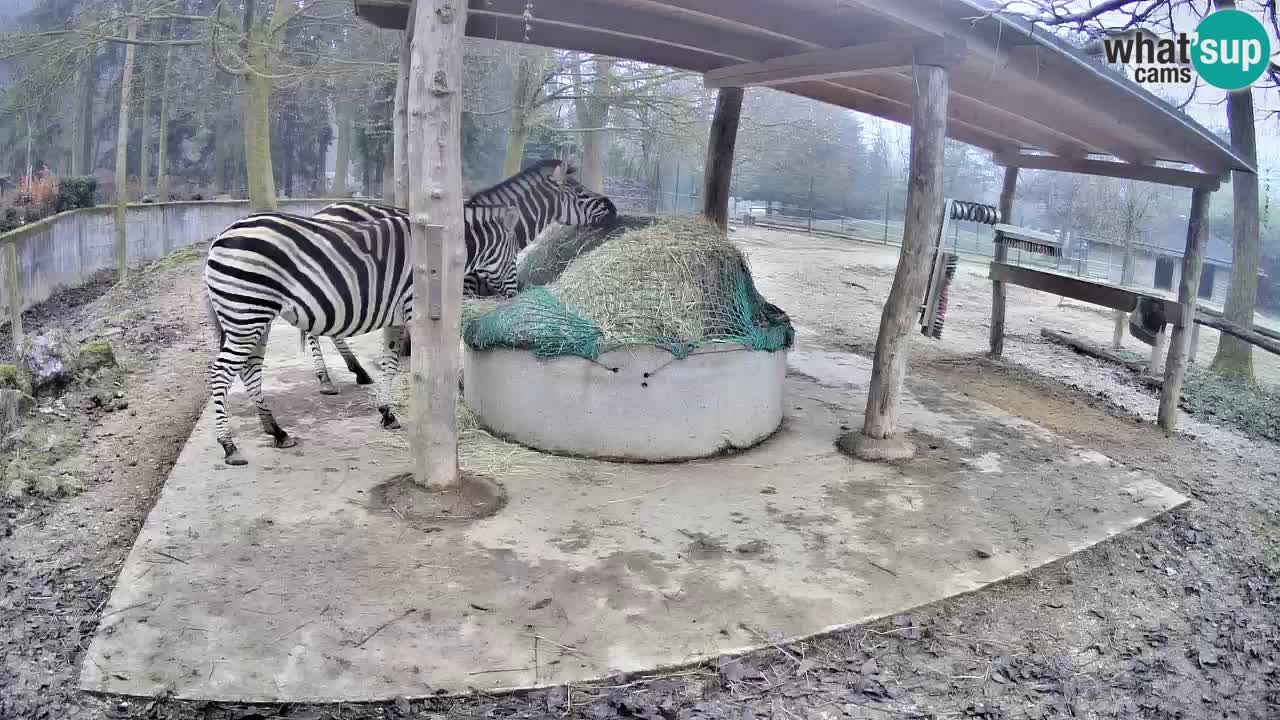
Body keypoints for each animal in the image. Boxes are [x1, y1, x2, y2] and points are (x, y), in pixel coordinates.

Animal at [202, 203, 520, 466]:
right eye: (515, 254)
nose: (517, 295)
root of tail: (220, 237)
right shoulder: (414, 311)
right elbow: (431, 362)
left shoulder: (396, 318)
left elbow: (390, 365)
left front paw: (387, 413)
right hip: (247, 313)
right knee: (221, 373)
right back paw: (229, 445)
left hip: (254, 316)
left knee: (249, 370)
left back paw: (277, 432)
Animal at [300, 158, 618, 395]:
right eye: (579, 192)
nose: (614, 209)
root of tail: (324, 211)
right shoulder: (462, 290)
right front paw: (458, 381)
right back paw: (327, 379)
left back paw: (357, 370)